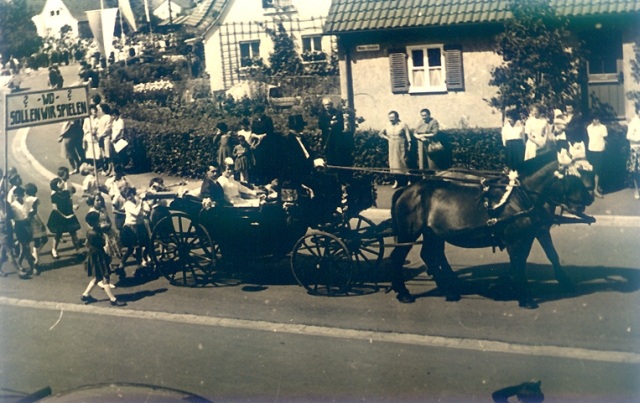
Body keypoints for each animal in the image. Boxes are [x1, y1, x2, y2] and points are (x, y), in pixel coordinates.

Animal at [390, 152, 596, 310]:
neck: (519, 197)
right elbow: (520, 264)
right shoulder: (518, 240)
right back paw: (404, 293)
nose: (589, 198)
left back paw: (449, 290)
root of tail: (407, 189)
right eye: (573, 176)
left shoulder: (530, 236)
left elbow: (530, 261)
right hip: (408, 233)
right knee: (398, 258)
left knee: (430, 255)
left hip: (432, 233)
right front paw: (525, 298)